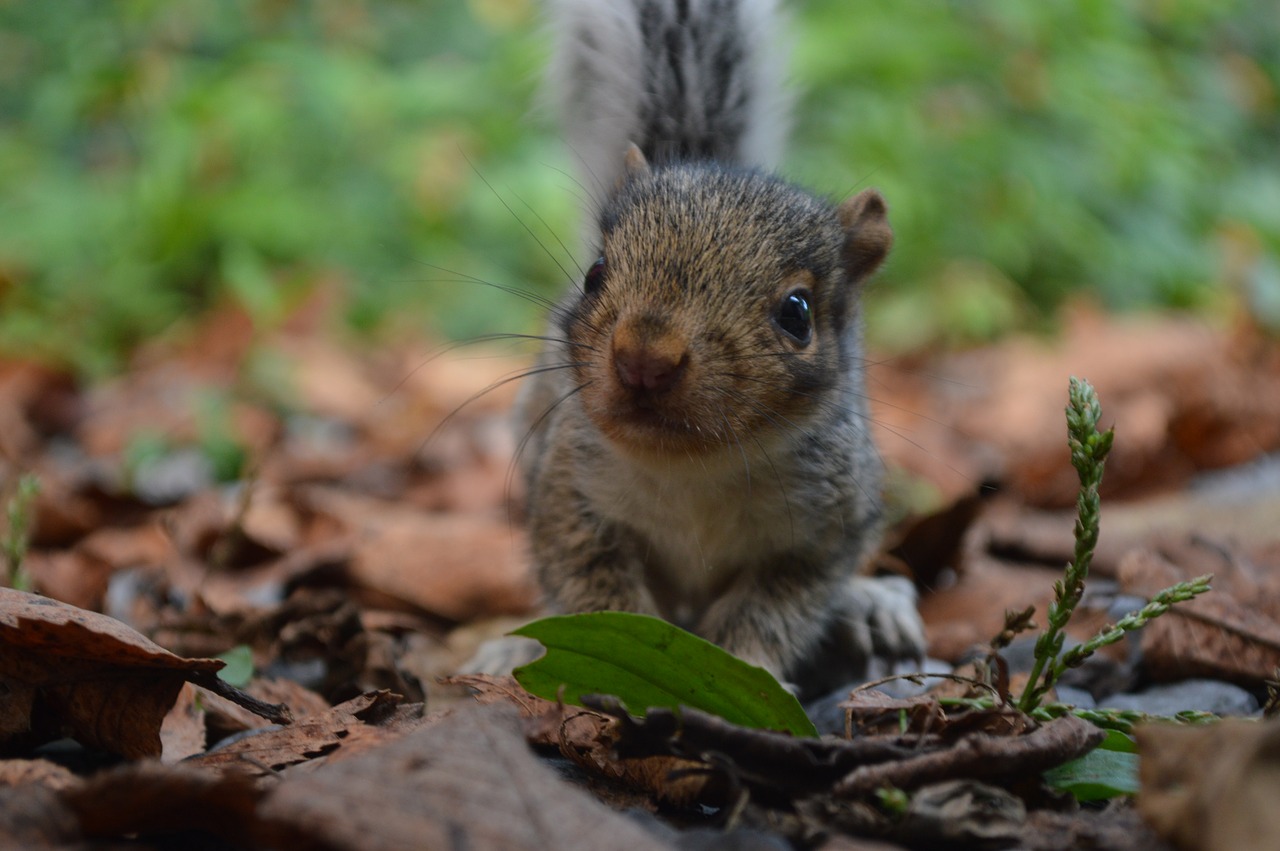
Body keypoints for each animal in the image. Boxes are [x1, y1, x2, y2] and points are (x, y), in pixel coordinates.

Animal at [509, 0, 921, 696]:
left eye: (797, 313)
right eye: (595, 273)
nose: (644, 358)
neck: (694, 469)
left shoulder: (821, 536)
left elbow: (772, 613)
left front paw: (746, 677)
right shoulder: (569, 494)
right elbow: (592, 589)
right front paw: (616, 669)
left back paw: (873, 605)